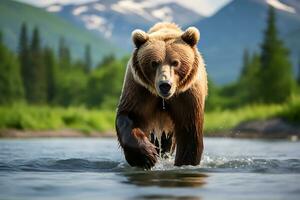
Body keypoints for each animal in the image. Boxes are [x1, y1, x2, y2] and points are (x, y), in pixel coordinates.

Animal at [116, 21, 207, 169]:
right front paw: (146, 156)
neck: (164, 99)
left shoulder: (186, 96)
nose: (165, 85)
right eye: (154, 63)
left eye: (175, 62)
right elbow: (130, 116)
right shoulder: (140, 89)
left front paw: (185, 163)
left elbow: (189, 132)